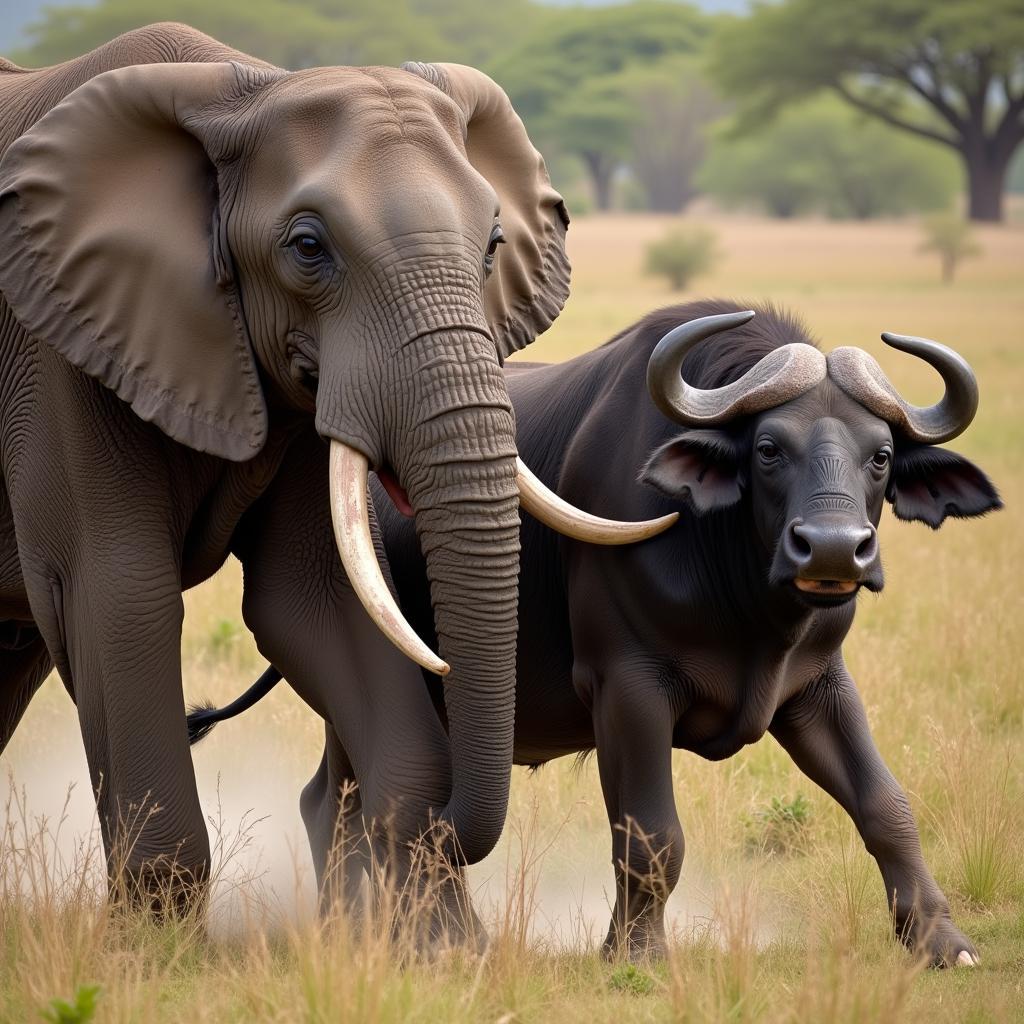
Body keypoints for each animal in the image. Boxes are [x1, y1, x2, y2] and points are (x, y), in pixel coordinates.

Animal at [0, 22, 663, 905]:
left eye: (493, 245)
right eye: (308, 248)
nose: (458, 832)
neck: (233, 93)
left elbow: (311, 599)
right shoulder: (62, 348)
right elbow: (121, 593)